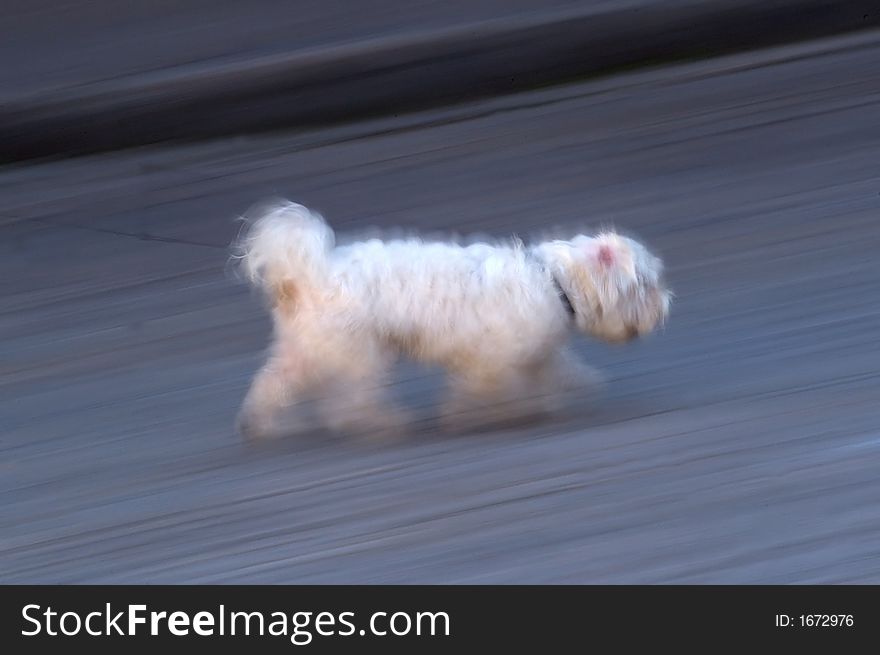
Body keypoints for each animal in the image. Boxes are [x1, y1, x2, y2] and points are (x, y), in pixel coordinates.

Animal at [234, 200, 668, 440]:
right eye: (645, 286)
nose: (664, 307)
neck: (553, 280)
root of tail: (310, 272)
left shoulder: (534, 353)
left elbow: (555, 373)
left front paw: (565, 391)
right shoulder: (491, 358)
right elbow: (487, 388)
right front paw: (471, 415)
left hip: (306, 349)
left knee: (275, 383)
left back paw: (262, 424)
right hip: (360, 352)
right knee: (351, 400)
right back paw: (383, 422)